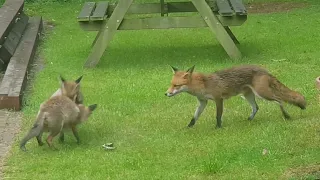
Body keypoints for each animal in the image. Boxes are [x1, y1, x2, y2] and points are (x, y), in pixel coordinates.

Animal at [166, 64, 306, 128]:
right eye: (171, 84)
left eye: (176, 85)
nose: (166, 93)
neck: (203, 84)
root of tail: (264, 69)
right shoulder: (202, 102)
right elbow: (194, 116)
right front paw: (189, 127)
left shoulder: (218, 99)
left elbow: (218, 115)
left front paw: (218, 127)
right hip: (247, 95)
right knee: (256, 107)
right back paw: (249, 120)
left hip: (262, 93)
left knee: (279, 100)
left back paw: (286, 116)